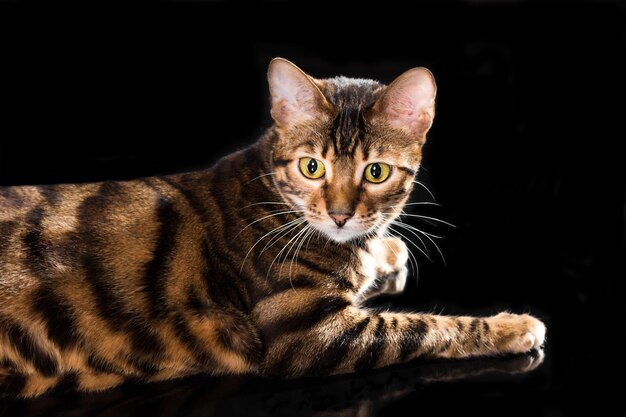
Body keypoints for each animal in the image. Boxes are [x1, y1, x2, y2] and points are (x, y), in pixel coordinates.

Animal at [0, 58, 544, 396]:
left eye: (376, 172)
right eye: (311, 167)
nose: (341, 214)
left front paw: (385, 253)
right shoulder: (307, 333)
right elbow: (424, 327)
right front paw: (512, 327)